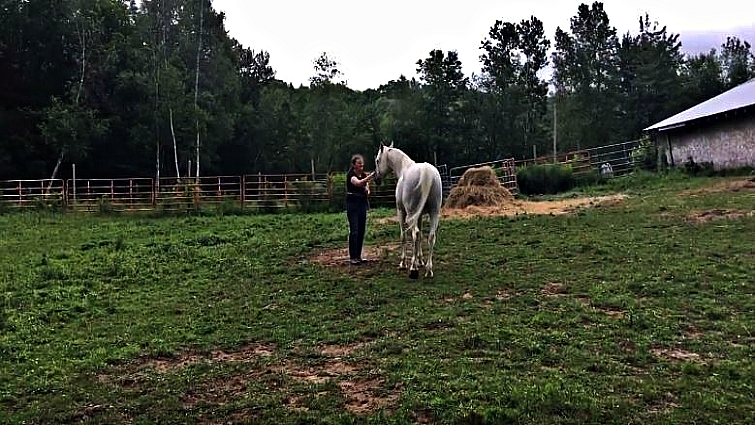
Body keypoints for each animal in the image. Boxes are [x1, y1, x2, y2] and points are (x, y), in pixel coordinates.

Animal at [373, 143, 443, 278]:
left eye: (377, 160)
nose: (376, 178)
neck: (404, 168)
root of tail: (426, 171)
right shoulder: (419, 216)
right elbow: (421, 237)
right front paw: (420, 261)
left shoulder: (401, 212)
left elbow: (403, 236)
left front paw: (403, 263)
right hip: (433, 213)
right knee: (430, 237)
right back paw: (428, 270)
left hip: (410, 214)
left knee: (414, 234)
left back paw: (413, 268)